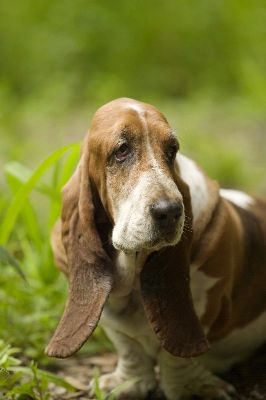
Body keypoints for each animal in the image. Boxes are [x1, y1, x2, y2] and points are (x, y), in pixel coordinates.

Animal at [46, 97, 266, 400]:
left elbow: (174, 354)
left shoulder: (203, 302)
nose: (170, 211)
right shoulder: (113, 315)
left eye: (171, 150)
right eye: (122, 150)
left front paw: (189, 388)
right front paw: (129, 382)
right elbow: (128, 346)